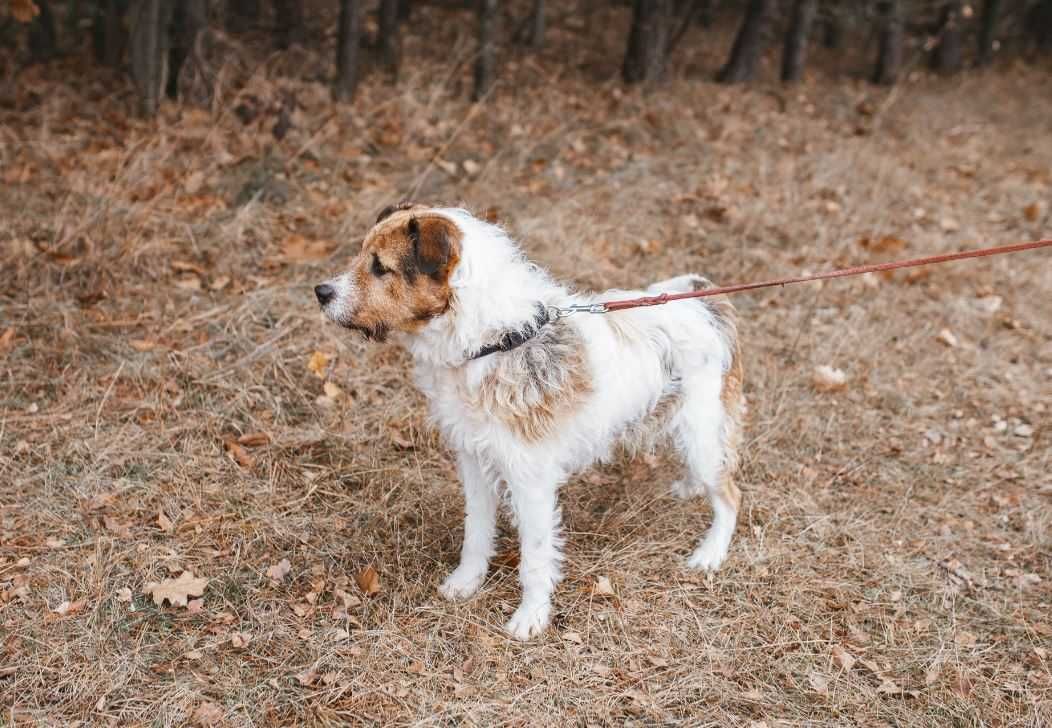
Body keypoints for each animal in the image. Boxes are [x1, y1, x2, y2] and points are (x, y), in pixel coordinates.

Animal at [315, 203, 744, 635]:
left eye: (380, 267)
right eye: (362, 255)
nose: (320, 292)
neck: (492, 342)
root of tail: (706, 300)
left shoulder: (531, 479)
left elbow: (535, 556)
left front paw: (531, 615)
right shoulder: (474, 461)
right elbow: (476, 532)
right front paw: (466, 582)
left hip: (703, 433)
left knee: (729, 494)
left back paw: (710, 552)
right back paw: (689, 488)